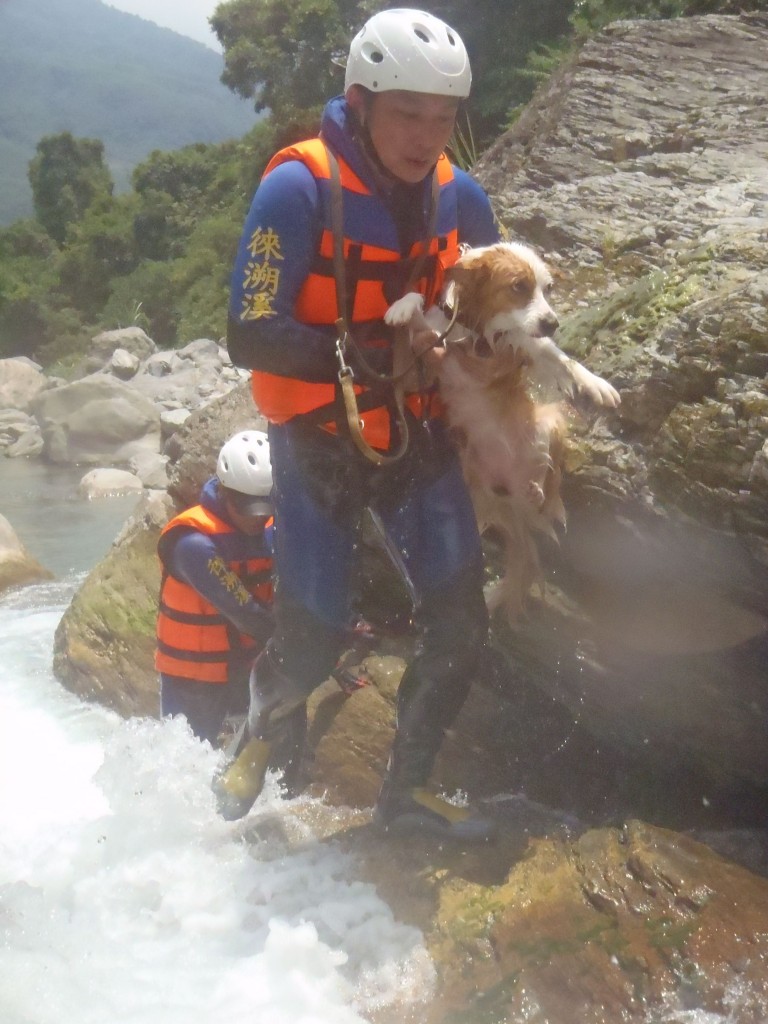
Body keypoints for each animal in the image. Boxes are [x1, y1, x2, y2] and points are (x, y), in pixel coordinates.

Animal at [387, 243, 622, 618]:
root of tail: (508, 492)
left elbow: (564, 360)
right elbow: (419, 313)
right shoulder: (422, 365)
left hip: (550, 424)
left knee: (549, 481)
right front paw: (402, 306)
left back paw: (536, 489)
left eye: (548, 288)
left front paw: (597, 385)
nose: (552, 323)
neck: (476, 332)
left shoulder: (524, 345)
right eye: (518, 287)